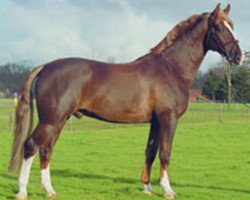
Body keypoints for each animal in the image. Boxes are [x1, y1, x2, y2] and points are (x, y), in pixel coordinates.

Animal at [9, 3, 242, 200]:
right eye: (219, 28)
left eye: (231, 26)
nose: (238, 56)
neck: (170, 68)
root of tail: (46, 66)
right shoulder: (168, 119)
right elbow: (165, 152)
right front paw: (168, 190)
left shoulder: (156, 121)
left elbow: (150, 151)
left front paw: (147, 187)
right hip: (51, 120)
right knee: (31, 146)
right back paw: (22, 191)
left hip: (60, 120)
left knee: (46, 150)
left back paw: (49, 190)